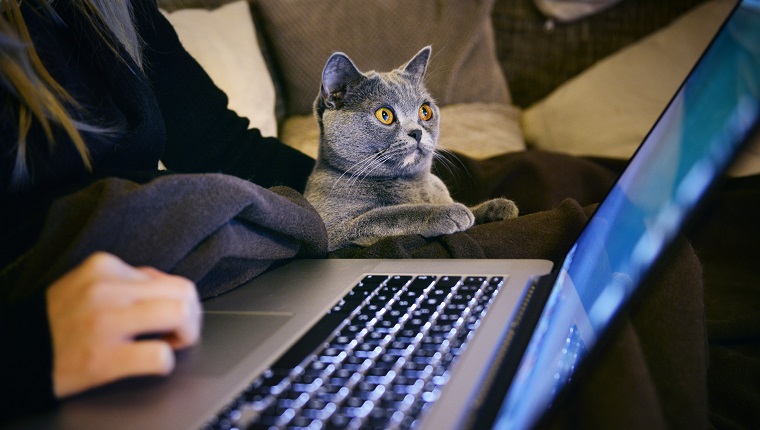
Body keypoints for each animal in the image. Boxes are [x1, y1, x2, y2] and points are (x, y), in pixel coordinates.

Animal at [302, 46, 516, 252]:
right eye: (384, 115)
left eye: (425, 111)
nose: (417, 132)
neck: (412, 182)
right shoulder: (335, 231)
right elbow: (388, 214)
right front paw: (448, 212)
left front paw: (497, 207)